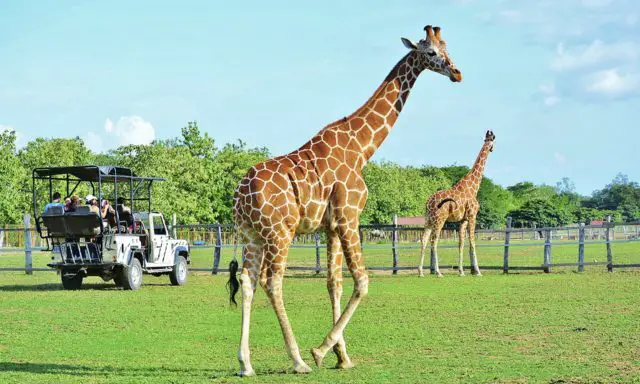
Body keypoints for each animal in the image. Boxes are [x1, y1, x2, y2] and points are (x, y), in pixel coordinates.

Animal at [228, 25, 462, 376]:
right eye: (431, 52)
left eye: (448, 47)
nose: (457, 73)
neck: (362, 149)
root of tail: (241, 195)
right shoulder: (348, 216)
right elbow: (362, 281)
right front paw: (320, 350)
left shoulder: (330, 226)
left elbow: (333, 282)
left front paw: (342, 355)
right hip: (279, 232)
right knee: (273, 281)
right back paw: (297, 360)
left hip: (251, 235)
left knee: (247, 280)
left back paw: (246, 363)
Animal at [418, 130, 498, 278]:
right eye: (492, 141)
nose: (492, 149)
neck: (473, 187)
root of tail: (428, 202)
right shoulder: (472, 216)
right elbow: (472, 241)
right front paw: (477, 271)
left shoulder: (463, 219)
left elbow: (461, 243)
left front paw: (461, 271)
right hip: (439, 219)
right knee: (434, 240)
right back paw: (438, 272)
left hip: (428, 219)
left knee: (424, 239)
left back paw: (420, 272)